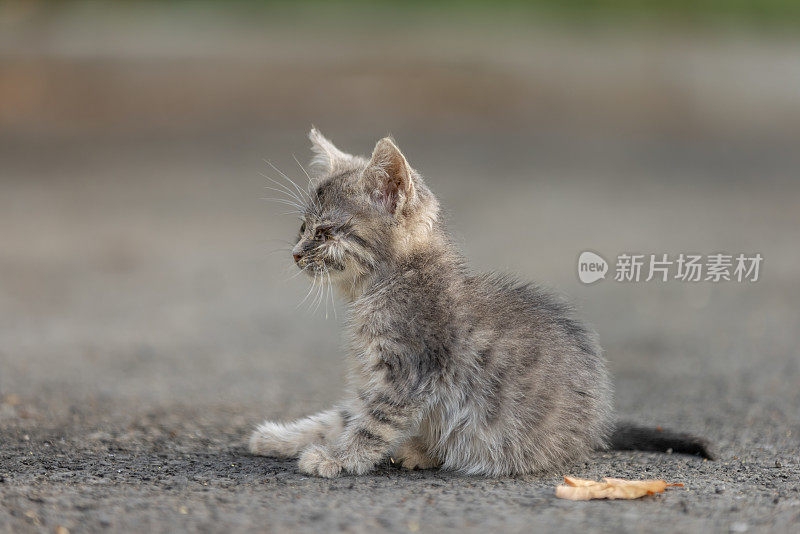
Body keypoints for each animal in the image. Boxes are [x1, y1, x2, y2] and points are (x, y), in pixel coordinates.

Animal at [250, 131, 712, 482]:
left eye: (325, 233)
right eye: (302, 227)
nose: (295, 253)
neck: (388, 284)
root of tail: (597, 425)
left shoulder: (407, 374)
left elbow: (370, 424)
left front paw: (336, 459)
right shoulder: (377, 377)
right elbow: (341, 416)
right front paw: (280, 438)